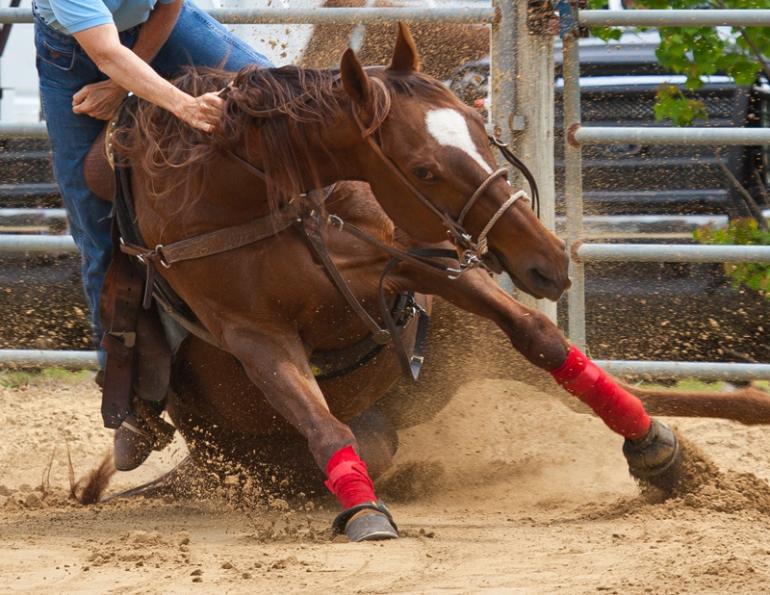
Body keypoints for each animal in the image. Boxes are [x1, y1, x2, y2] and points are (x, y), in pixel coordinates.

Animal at [82, 24, 770, 542]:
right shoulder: (256, 335)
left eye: (479, 126)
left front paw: (656, 448)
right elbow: (323, 424)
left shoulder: (421, 261)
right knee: (362, 442)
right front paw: (364, 512)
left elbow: (541, 336)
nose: (548, 258)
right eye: (423, 169)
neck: (269, 195)